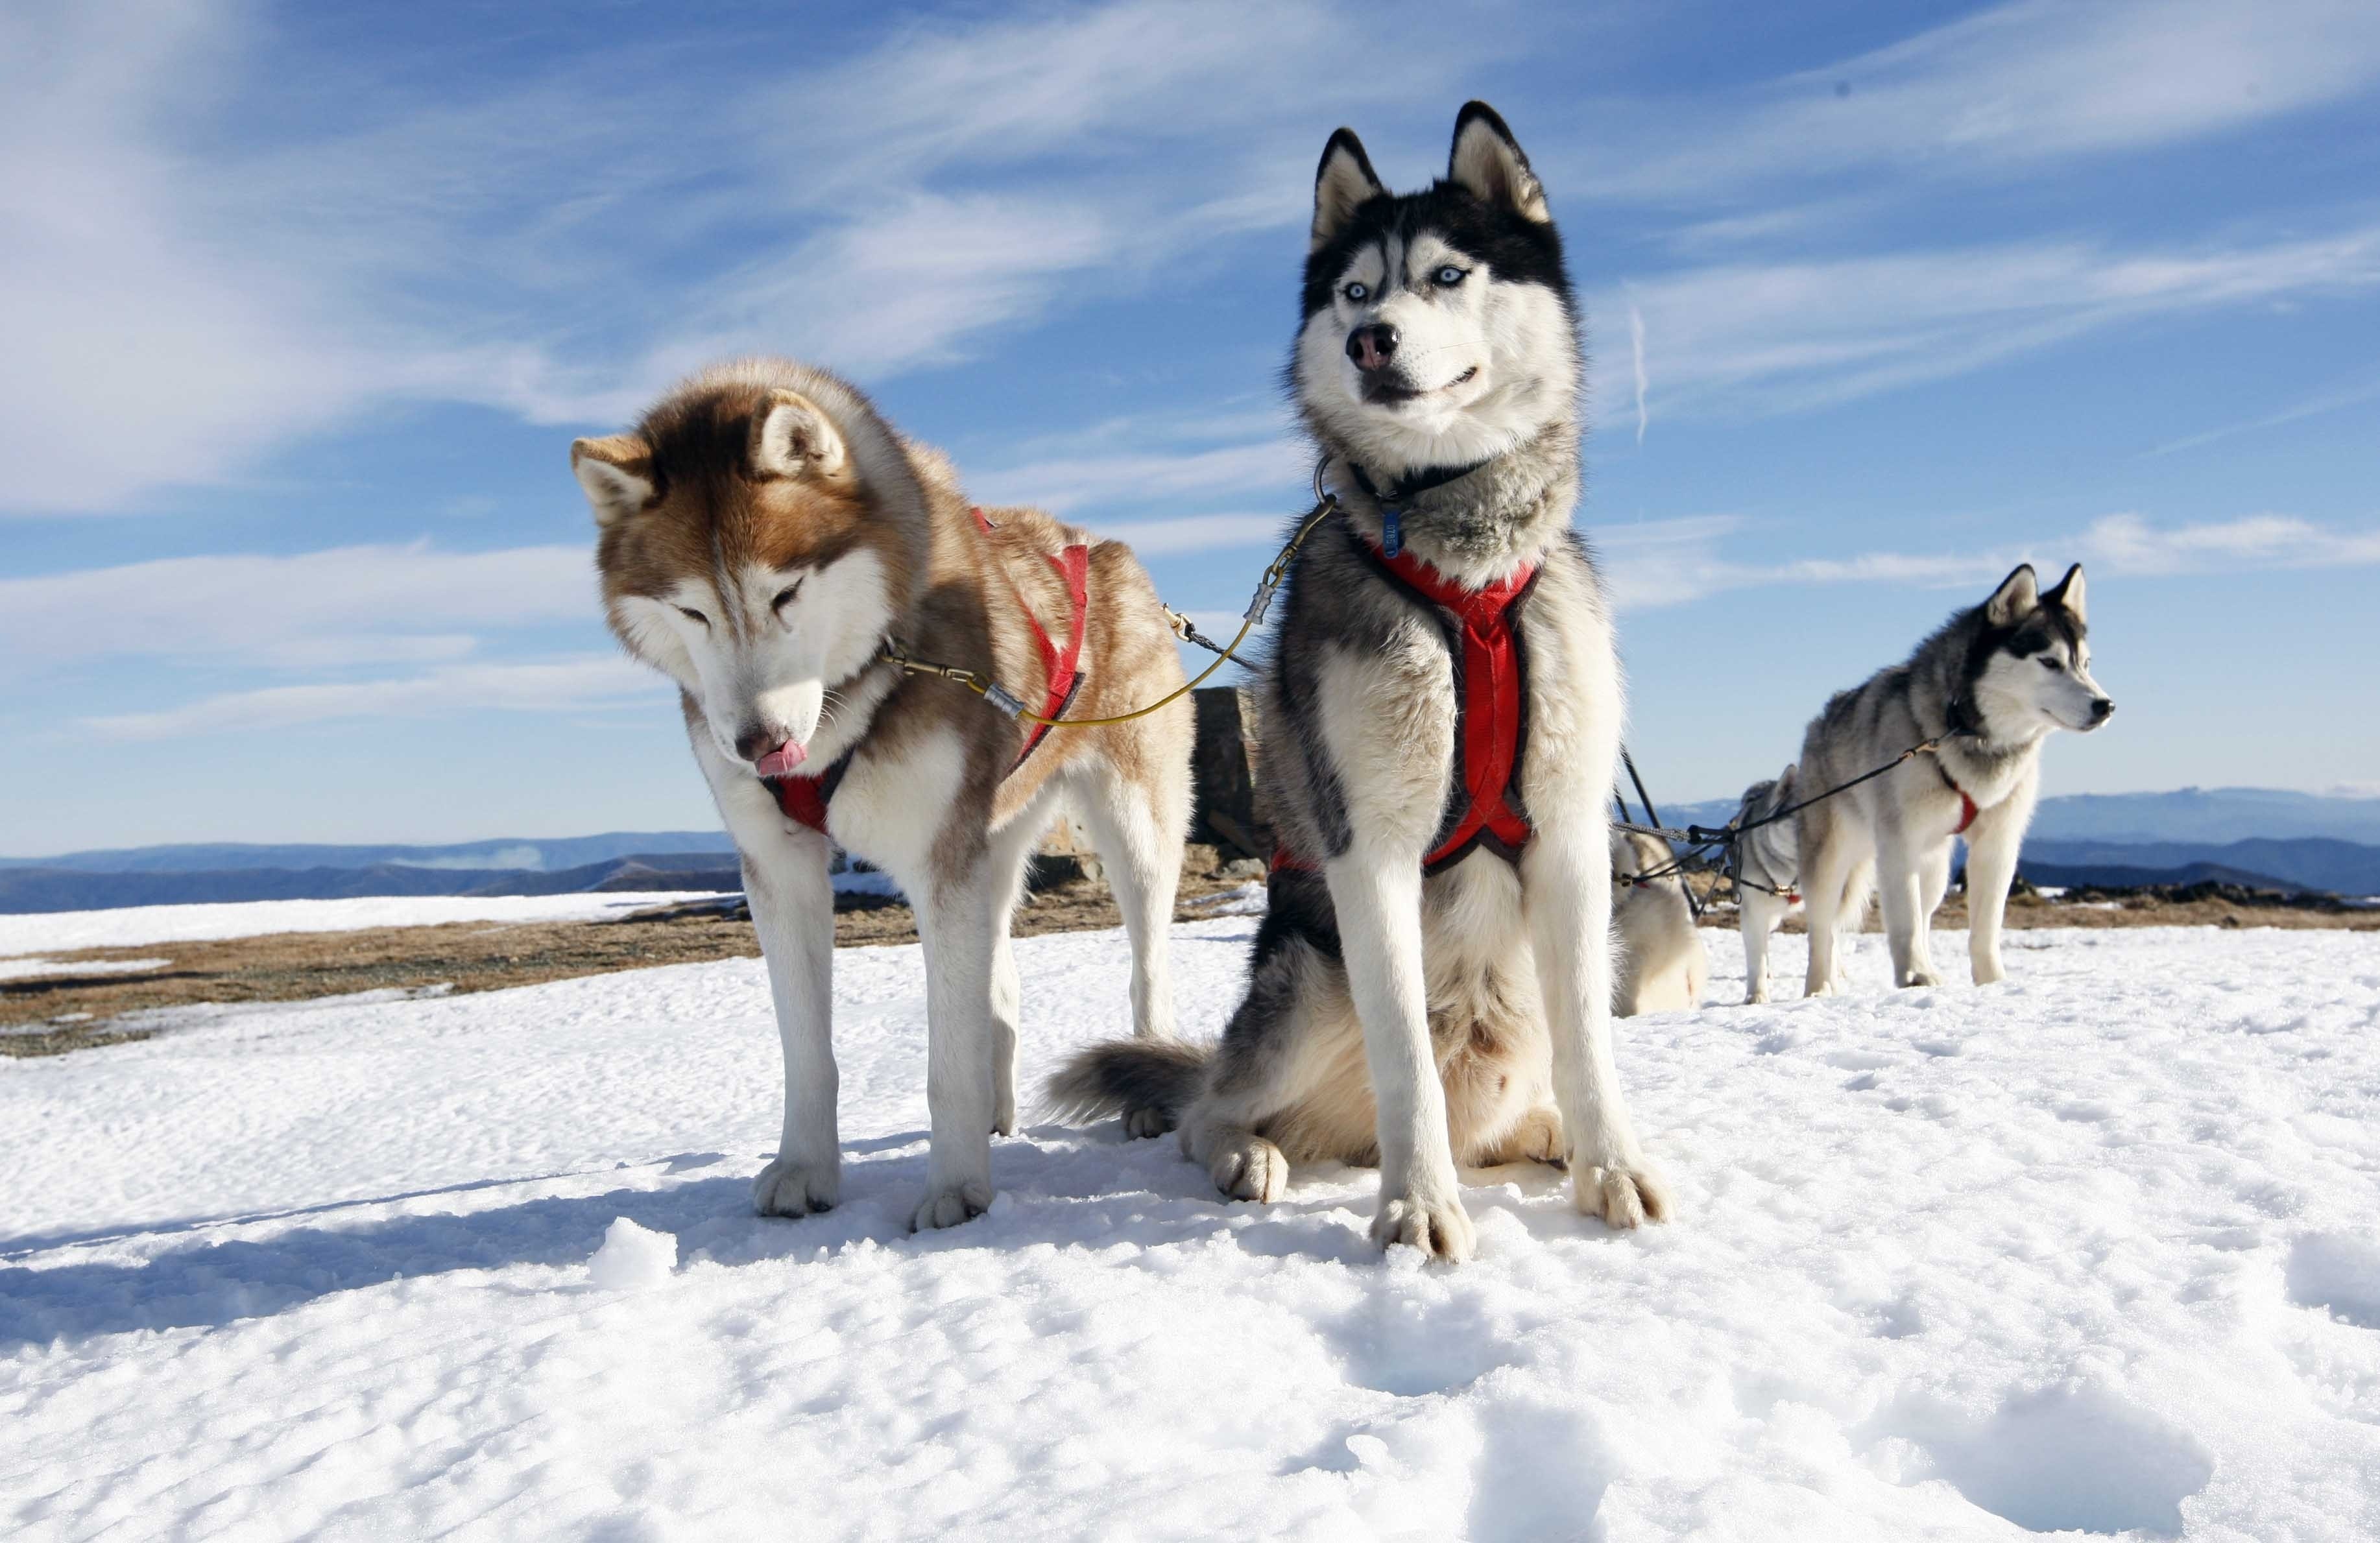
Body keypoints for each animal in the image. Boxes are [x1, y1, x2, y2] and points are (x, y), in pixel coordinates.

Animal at [1052, 102, 1666, 1257]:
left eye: (1446, 274)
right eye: (1352, 289)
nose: (1368, 338)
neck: (1463, 567)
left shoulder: (1569, 834)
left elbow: (1594, 1046)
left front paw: (1614, 1167)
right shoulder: (1370, 845)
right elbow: (1405, 1064)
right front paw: (1417, 1209)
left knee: (1519, 1093)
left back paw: (1549, 1132)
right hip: (1305, 974)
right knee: (1209, 1108)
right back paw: (1249, 1151)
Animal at [1790, 559, 2113, 995]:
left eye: (2086, 663)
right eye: (2049, 662)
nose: (2106, 706)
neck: (1963, 727)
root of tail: (1821, 722)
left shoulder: (1997, 843)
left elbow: (1985, 928)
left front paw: (1992, 983)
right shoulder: (1899, 842)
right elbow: (1904, 922)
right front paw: (1914, 976)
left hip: (1934, 866)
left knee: (1923, 914)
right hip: (1832, 857)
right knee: (1824, 929)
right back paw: (1819, 988)